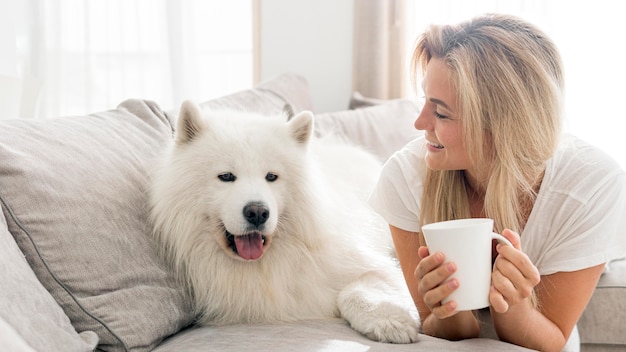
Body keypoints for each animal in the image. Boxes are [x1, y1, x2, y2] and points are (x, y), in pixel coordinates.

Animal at [148, 102, 416, 344]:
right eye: (225, 176)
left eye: (271, 177)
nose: (257, 212)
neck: (266, 265)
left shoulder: (368, 264)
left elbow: (356, 291)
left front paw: (390, 320)